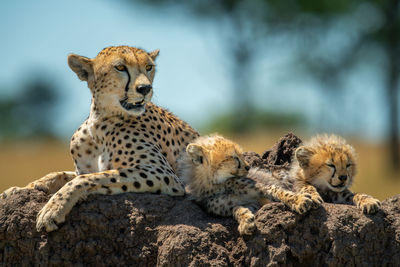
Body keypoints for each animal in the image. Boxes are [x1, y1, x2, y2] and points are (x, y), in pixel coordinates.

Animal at [0, 45, 199, 232]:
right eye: (120, 67)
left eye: (149, 67)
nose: (145, 89)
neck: (99, 122)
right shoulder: (84, 168)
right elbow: (61, 175)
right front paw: (19, 190)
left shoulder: (163, 174)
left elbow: (86, 179)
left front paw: (52, 210)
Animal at [180, 135, 314, 236]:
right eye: (234, 158)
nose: (248, 167)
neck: (219, 184)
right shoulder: (250, 204)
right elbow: (237, 208)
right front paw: (246, 221)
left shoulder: (263, 189)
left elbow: (279, 191)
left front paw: (299, 200)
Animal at [252, 135, 380, 215]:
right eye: (331, 165)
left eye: (348, 165)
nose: (343, 177)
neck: (323, 187)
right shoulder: (296, 183)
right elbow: (306, 186)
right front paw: (313, 197)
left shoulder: (336, 193)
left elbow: (354, 194)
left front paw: (368, 201)